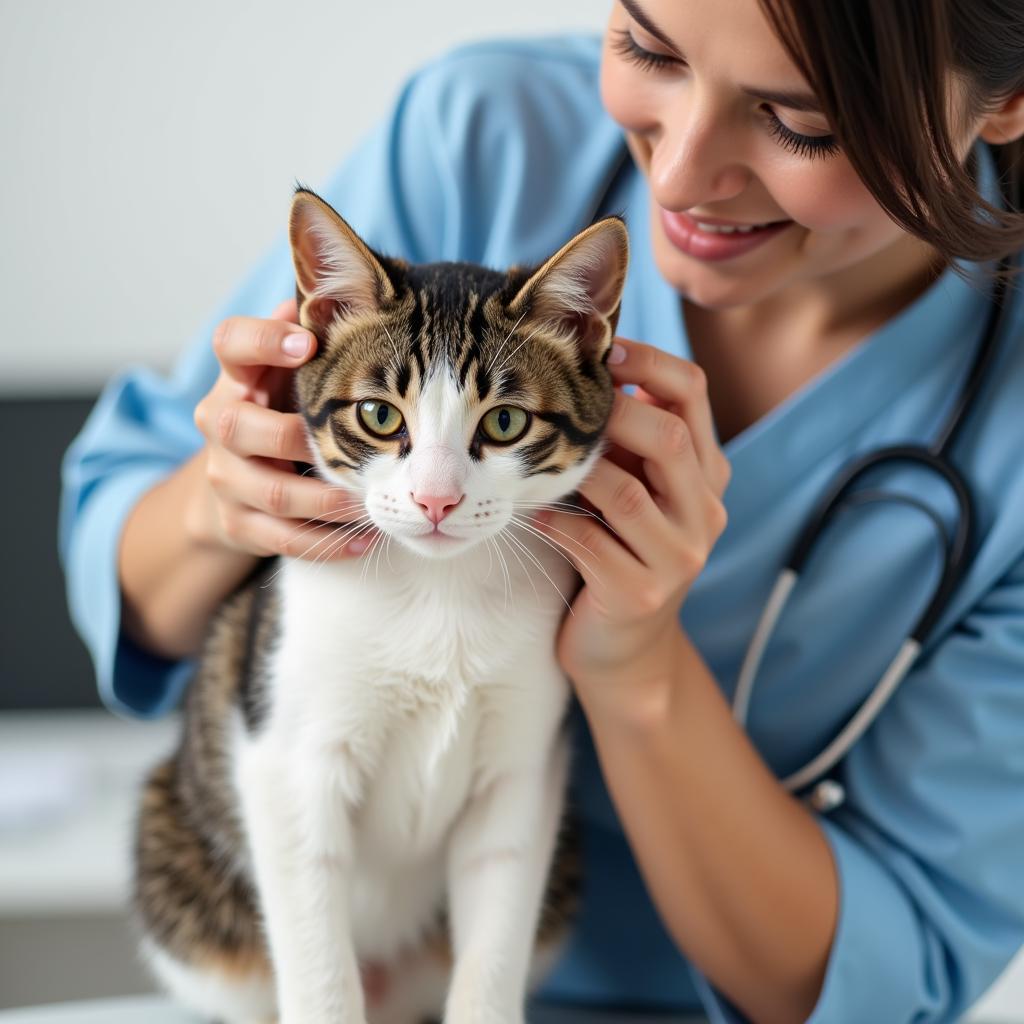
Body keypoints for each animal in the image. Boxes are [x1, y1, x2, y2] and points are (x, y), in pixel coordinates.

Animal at [132, 186, 626, 1024]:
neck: (438, 590)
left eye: (504, 422)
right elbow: (314, 948)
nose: (436, 500)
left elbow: (497, 924)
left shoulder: (524, 766)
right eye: (380, 415)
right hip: (180, 859)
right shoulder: (285, 755)